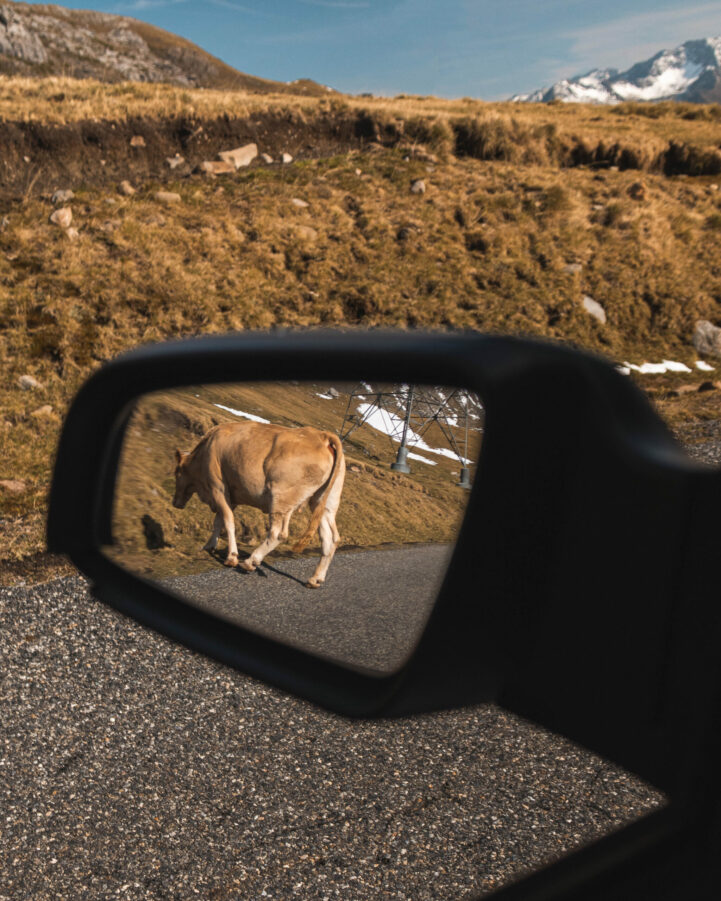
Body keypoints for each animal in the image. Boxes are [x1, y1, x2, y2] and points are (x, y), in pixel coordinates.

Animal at [172, 420, 345, 588]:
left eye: (176, 472)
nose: (175, 502)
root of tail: (322, 436)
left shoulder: (218, 487)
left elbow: (228, 520)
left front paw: (231, 557)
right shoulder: (231, 496)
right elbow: (218, 521)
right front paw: (209, 545)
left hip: (280, 497)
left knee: (278, 533)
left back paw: (250, 561)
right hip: (325, 503)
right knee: (331, 539)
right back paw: (315, 579)